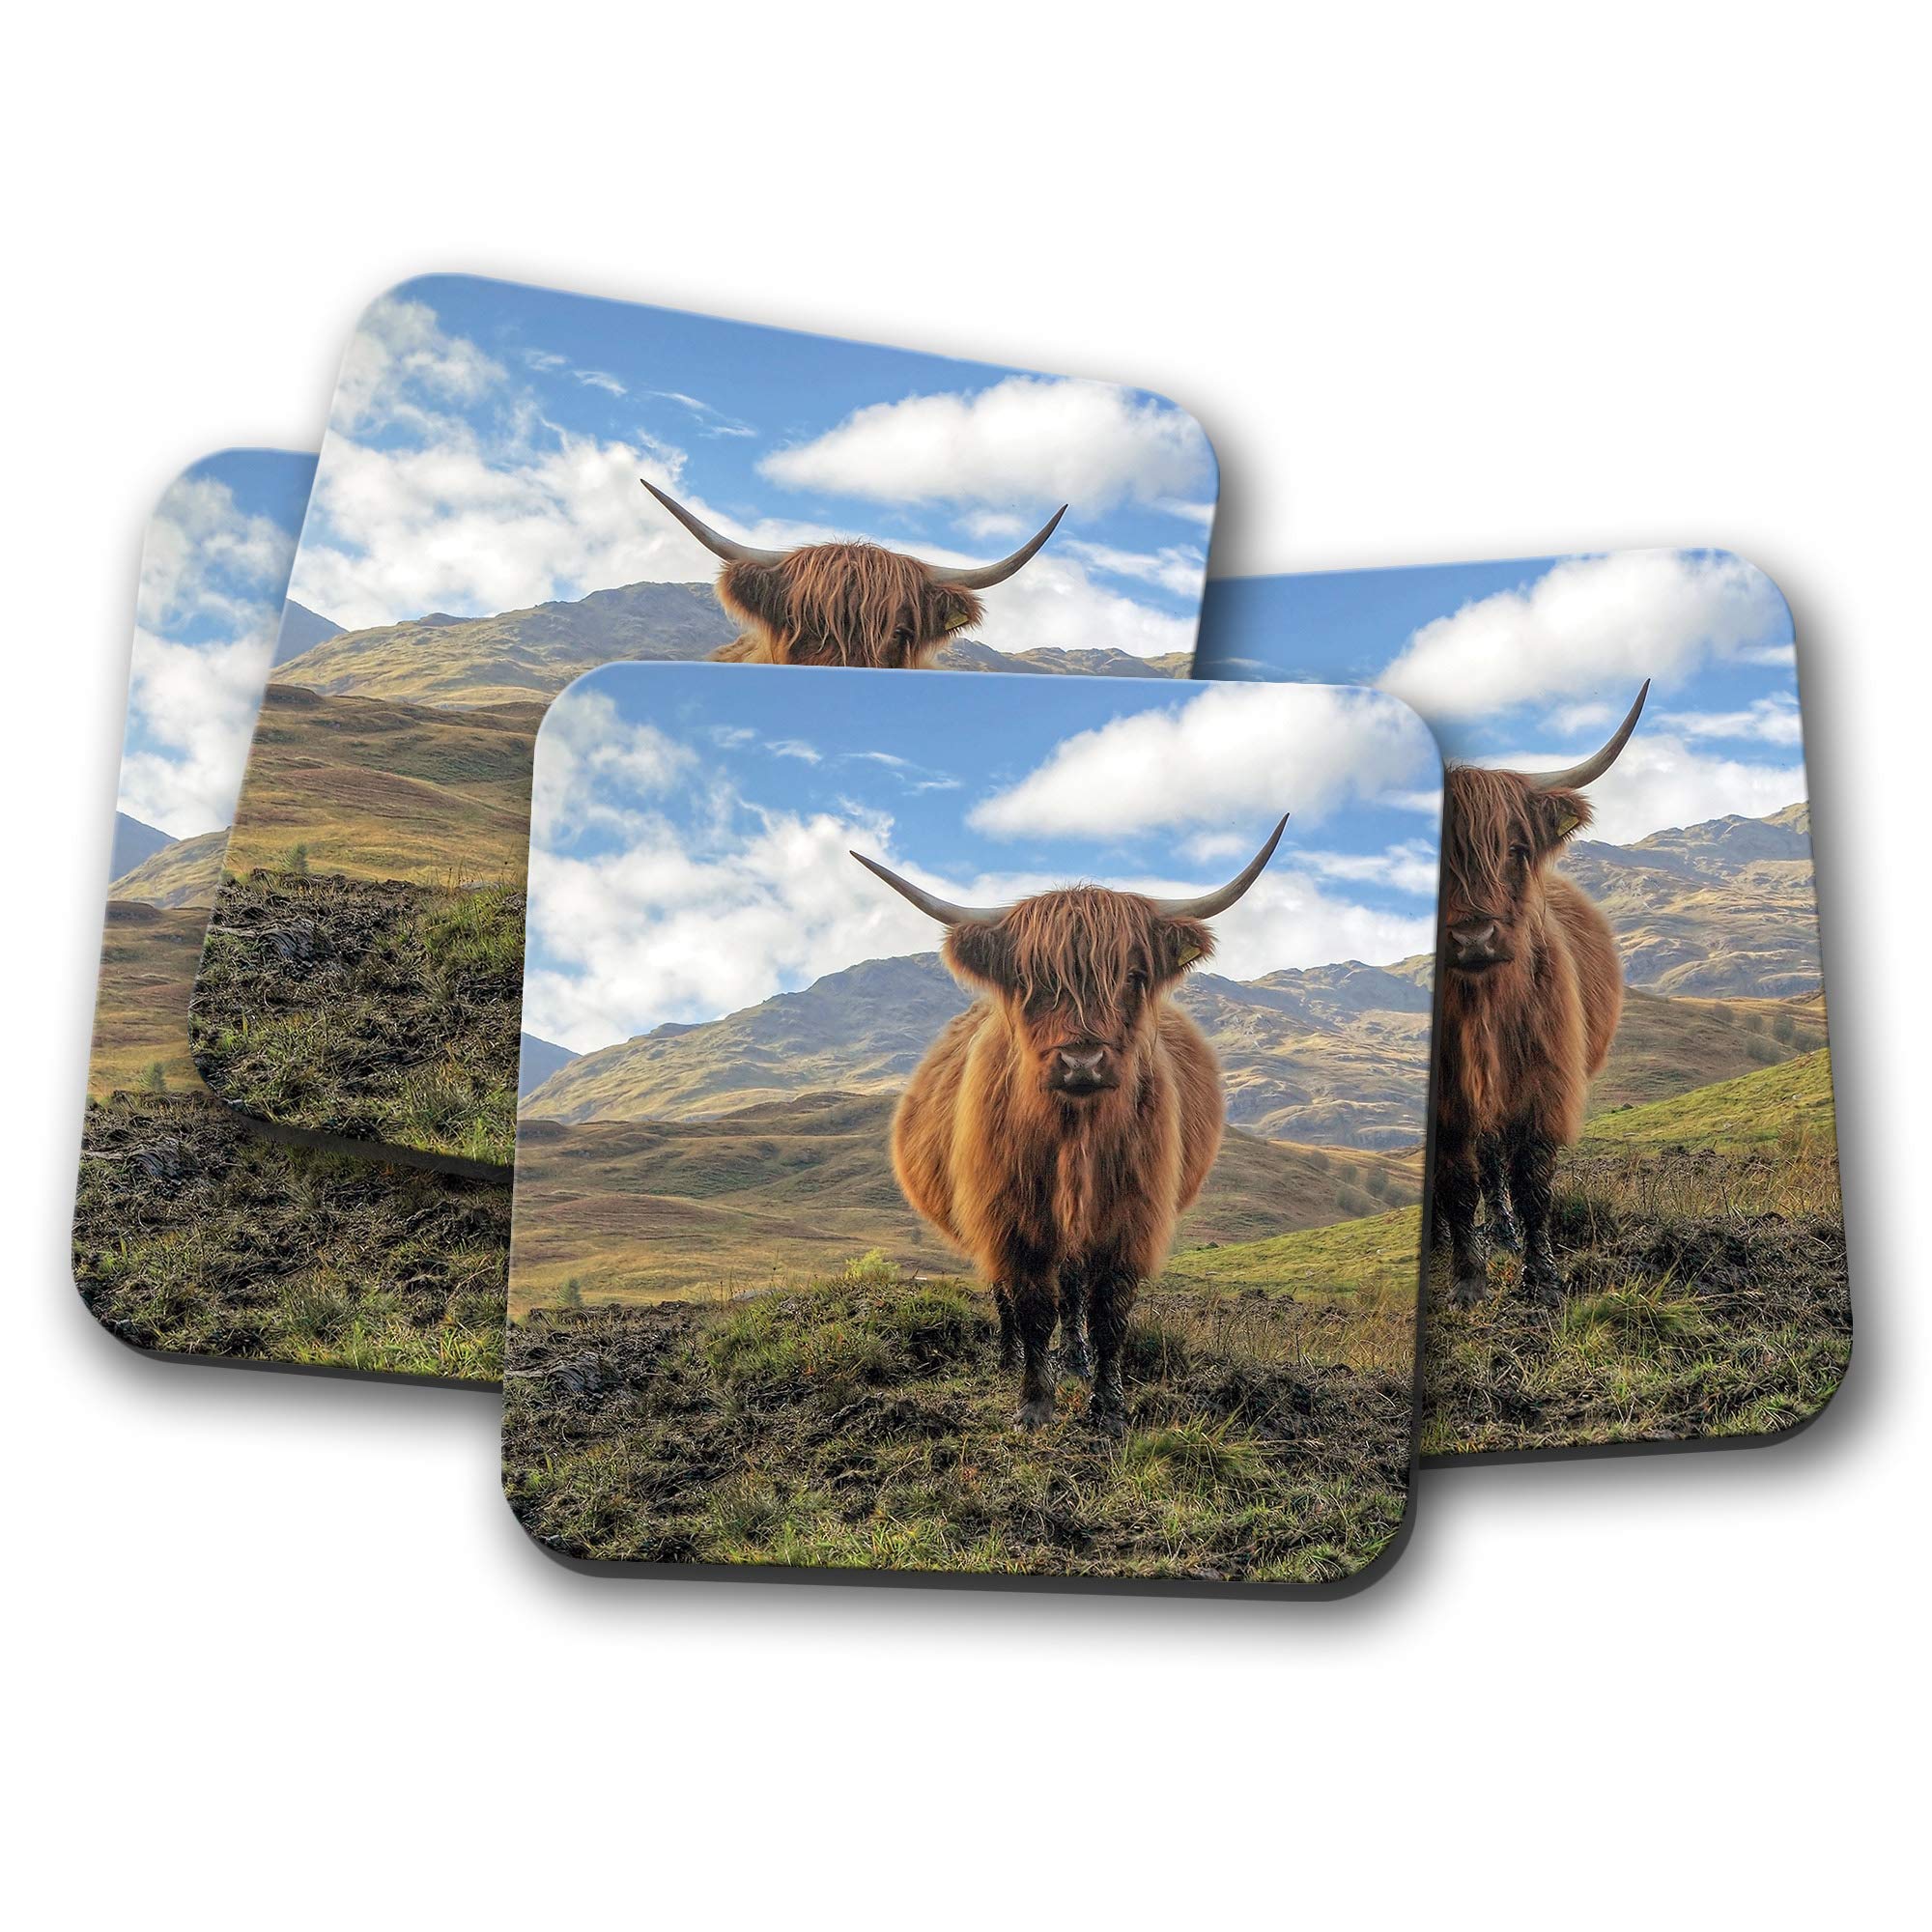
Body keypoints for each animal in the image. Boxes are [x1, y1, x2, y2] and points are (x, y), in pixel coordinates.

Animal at [852, 818, 1288, 1433]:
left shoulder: (1130, 1219)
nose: (1082, 1060)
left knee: (1074, 1289)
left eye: (1132, 976)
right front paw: (1034, 1403)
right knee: (1009, 1295)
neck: (1074, 1138)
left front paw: (1108, 1407)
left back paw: (1076, 1361)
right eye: (1029, 980)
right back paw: (1009, 1360)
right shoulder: (1008, 1216)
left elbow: (1107, 1314)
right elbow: (1031, 1306)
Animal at [1434, 683, 1648, 1307]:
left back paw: (1504, 1235)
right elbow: (1456, 1182)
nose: (1474, 937)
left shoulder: (1546, 1086)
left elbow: (1532, 1179)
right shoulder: (1449, 1099)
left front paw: (1544, 1280)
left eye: (1514, 848)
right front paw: (1467, 1279)